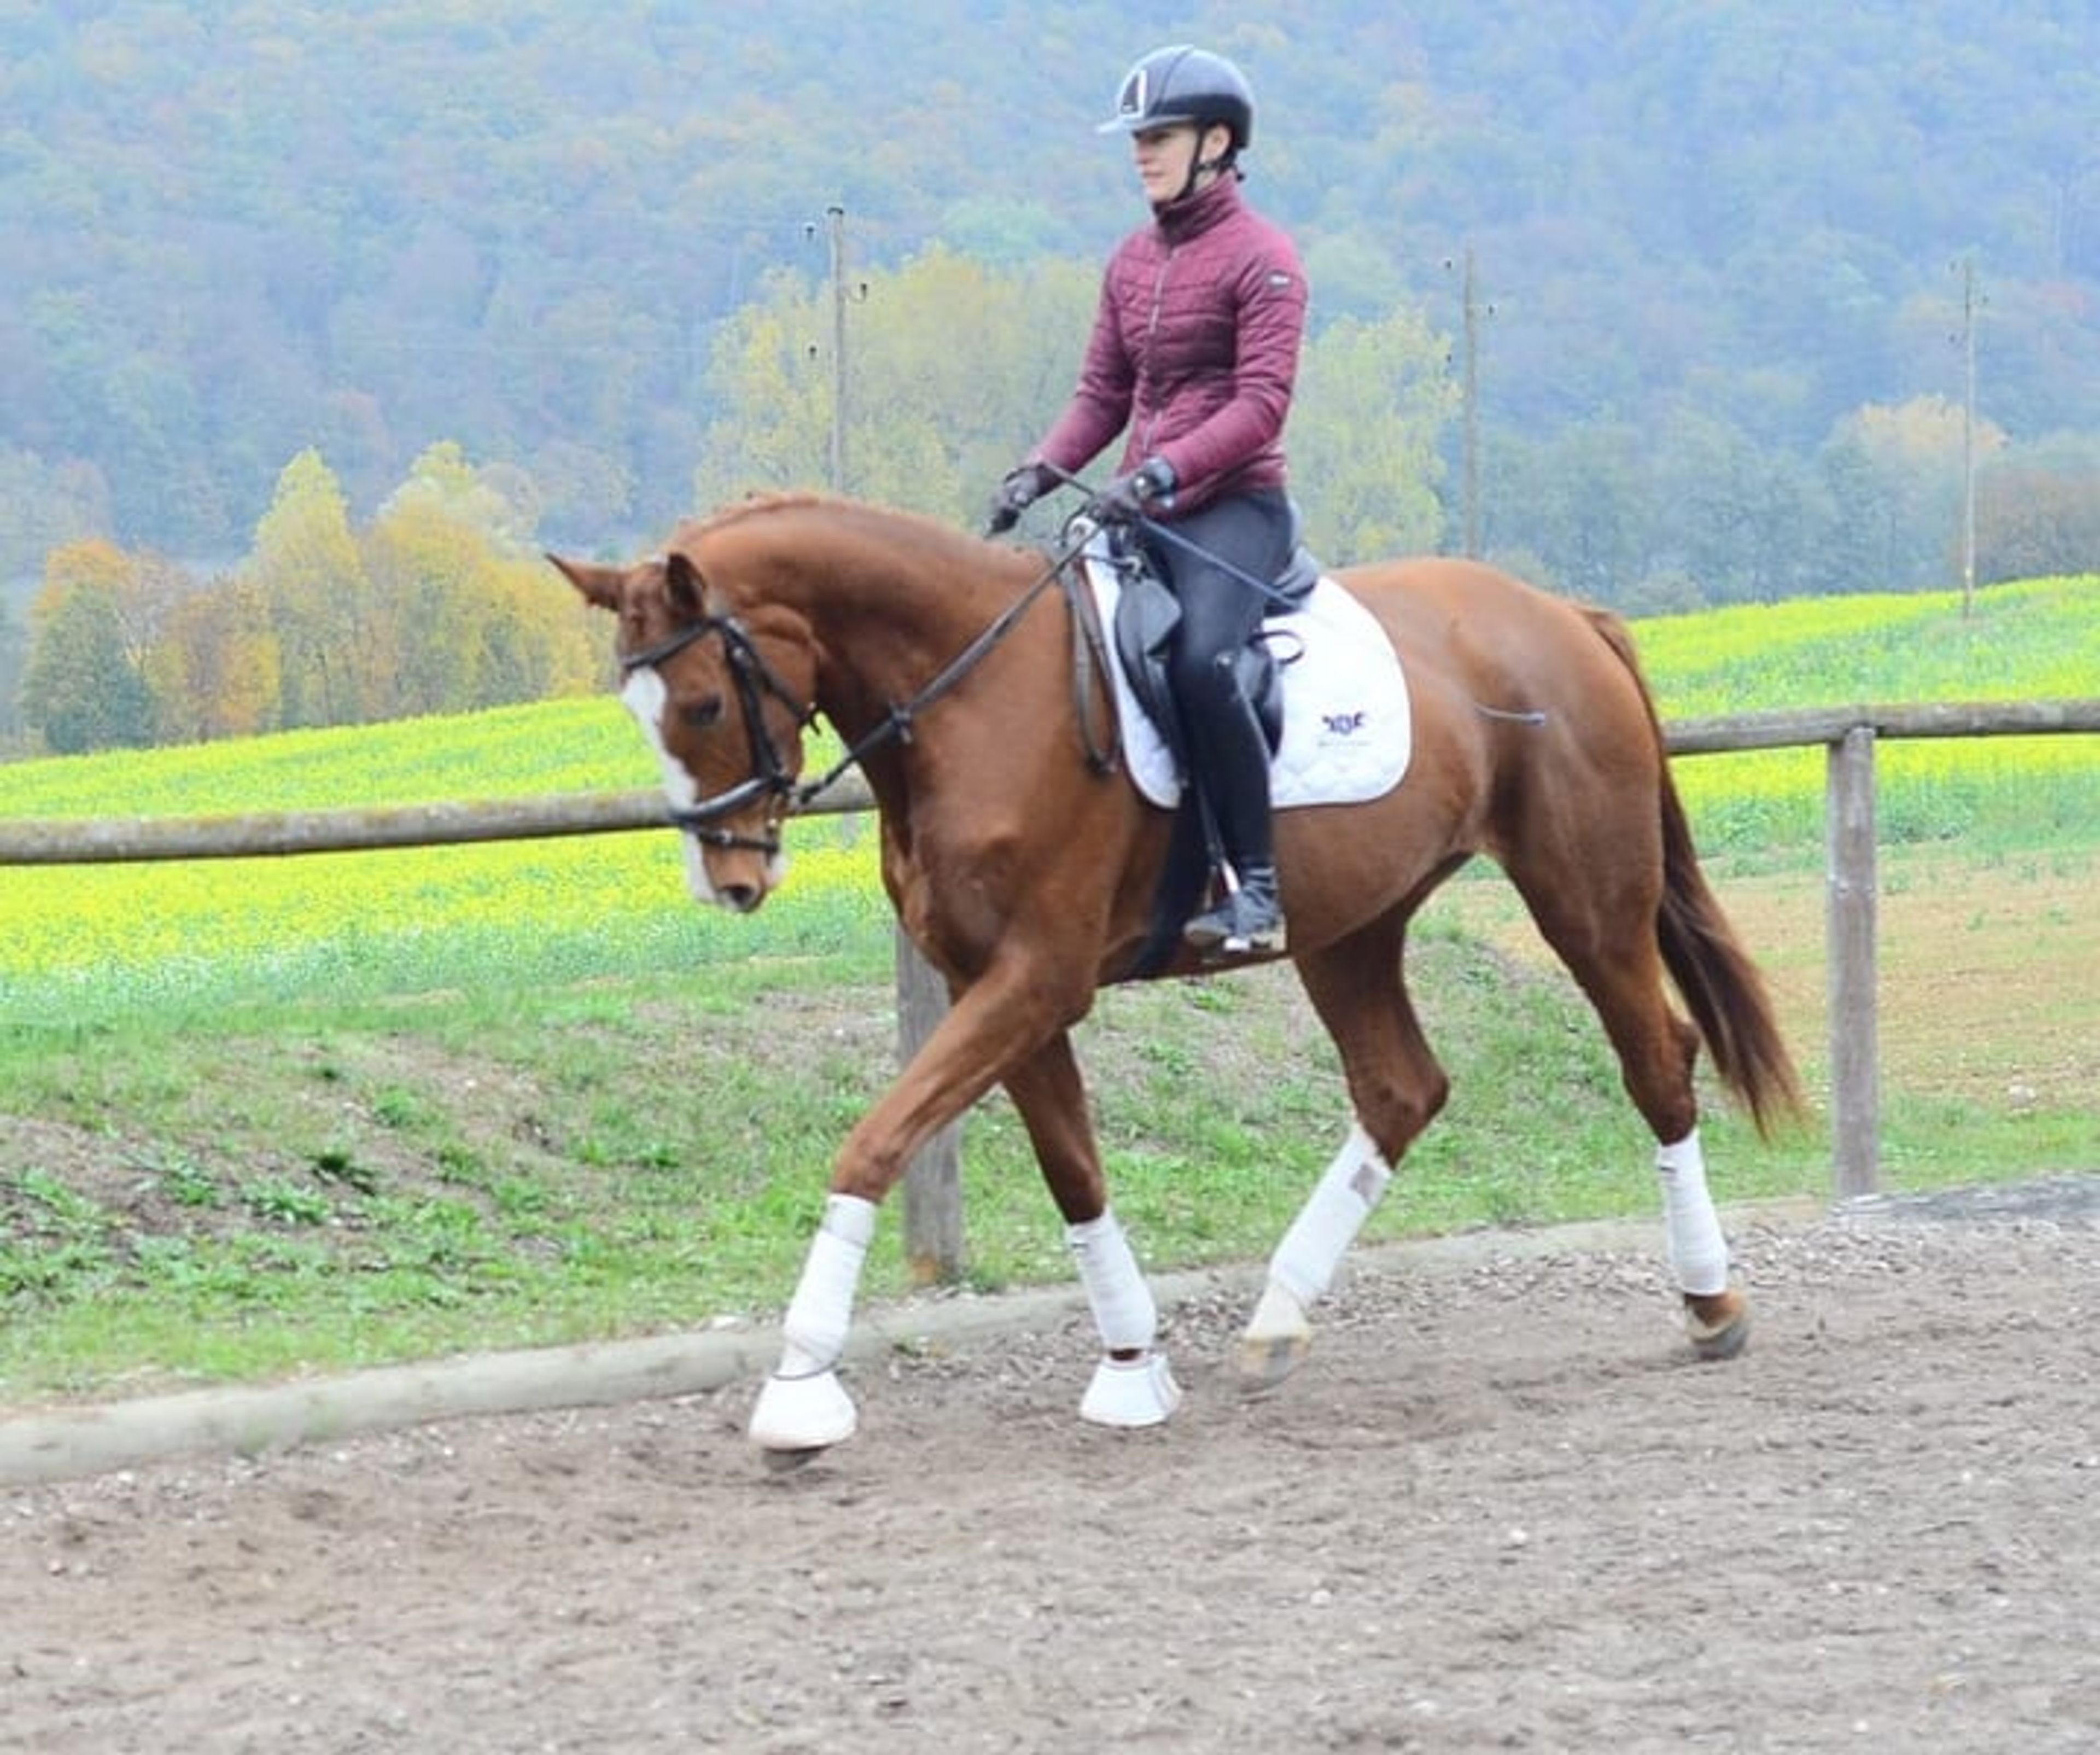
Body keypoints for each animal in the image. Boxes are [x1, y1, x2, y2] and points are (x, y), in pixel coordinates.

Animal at [550, 491, 1801, 1468]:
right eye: (639, 710)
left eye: (704, 701)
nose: (730, 879)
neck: (973, 698)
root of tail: (1561, 616)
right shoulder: (995, 985)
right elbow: (1074, 1172)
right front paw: (1130, 1367)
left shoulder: (1035, 979)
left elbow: (875, 1140)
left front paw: (799, 1391)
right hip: (1352, 926)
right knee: (1403, 1087)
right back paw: (1278, 1318)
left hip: (1585, 897)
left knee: (1658, 1062)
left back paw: (1712, 1303)